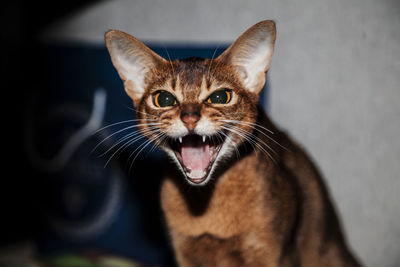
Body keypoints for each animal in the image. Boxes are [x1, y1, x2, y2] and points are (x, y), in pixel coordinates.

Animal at [104, 19, 360, 266]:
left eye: (220, 96)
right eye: (164, 99)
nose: (189, 118)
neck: (206, 205)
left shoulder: (274, 254)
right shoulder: (184, 252)